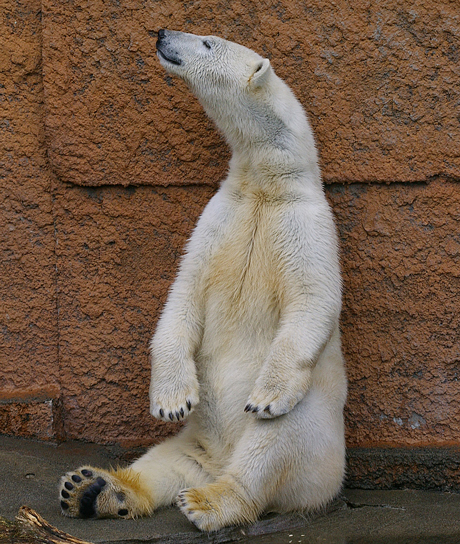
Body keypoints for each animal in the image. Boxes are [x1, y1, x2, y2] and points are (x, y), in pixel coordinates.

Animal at [58, 29, 344, 532]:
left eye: (209, 42)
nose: (162, 34)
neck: (266, 184)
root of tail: (216, 460)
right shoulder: (218, 221)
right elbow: (183, 293)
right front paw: (171, 400)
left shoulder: (306, 225)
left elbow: (314, 299)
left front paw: (266, 396)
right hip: (191, 442)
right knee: (161, 461)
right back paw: (93, 488)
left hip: (313, 439)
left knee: (270, 448)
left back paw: (208, 501)